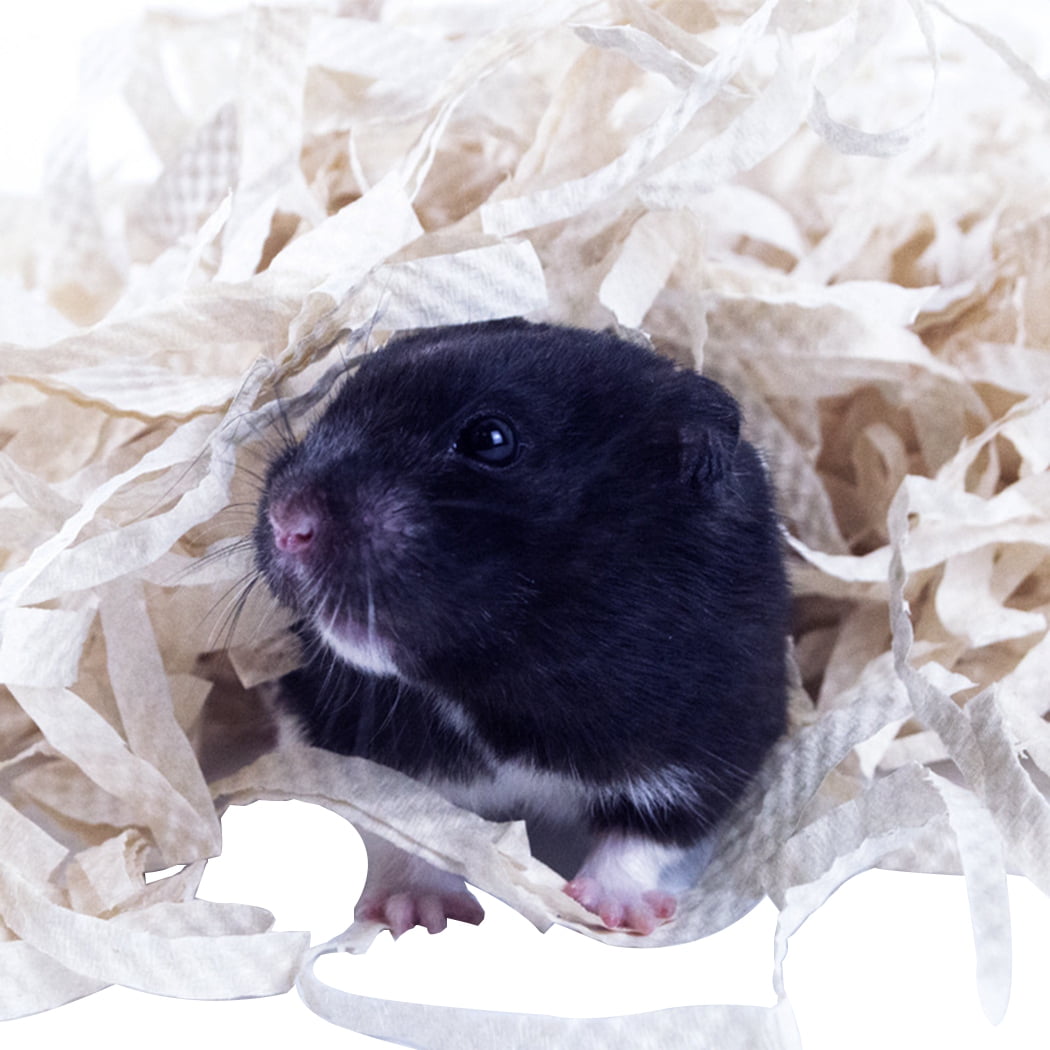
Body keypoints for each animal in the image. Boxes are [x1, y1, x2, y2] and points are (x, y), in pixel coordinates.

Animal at [253, 319, 789, 936]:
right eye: (335, 407)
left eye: (492, 440)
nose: (286, 522)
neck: (498, 683)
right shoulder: (343, 735)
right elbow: (404, 825)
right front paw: (417, 915)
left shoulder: (711, 743)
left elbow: (649, 838)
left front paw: (617, 916)